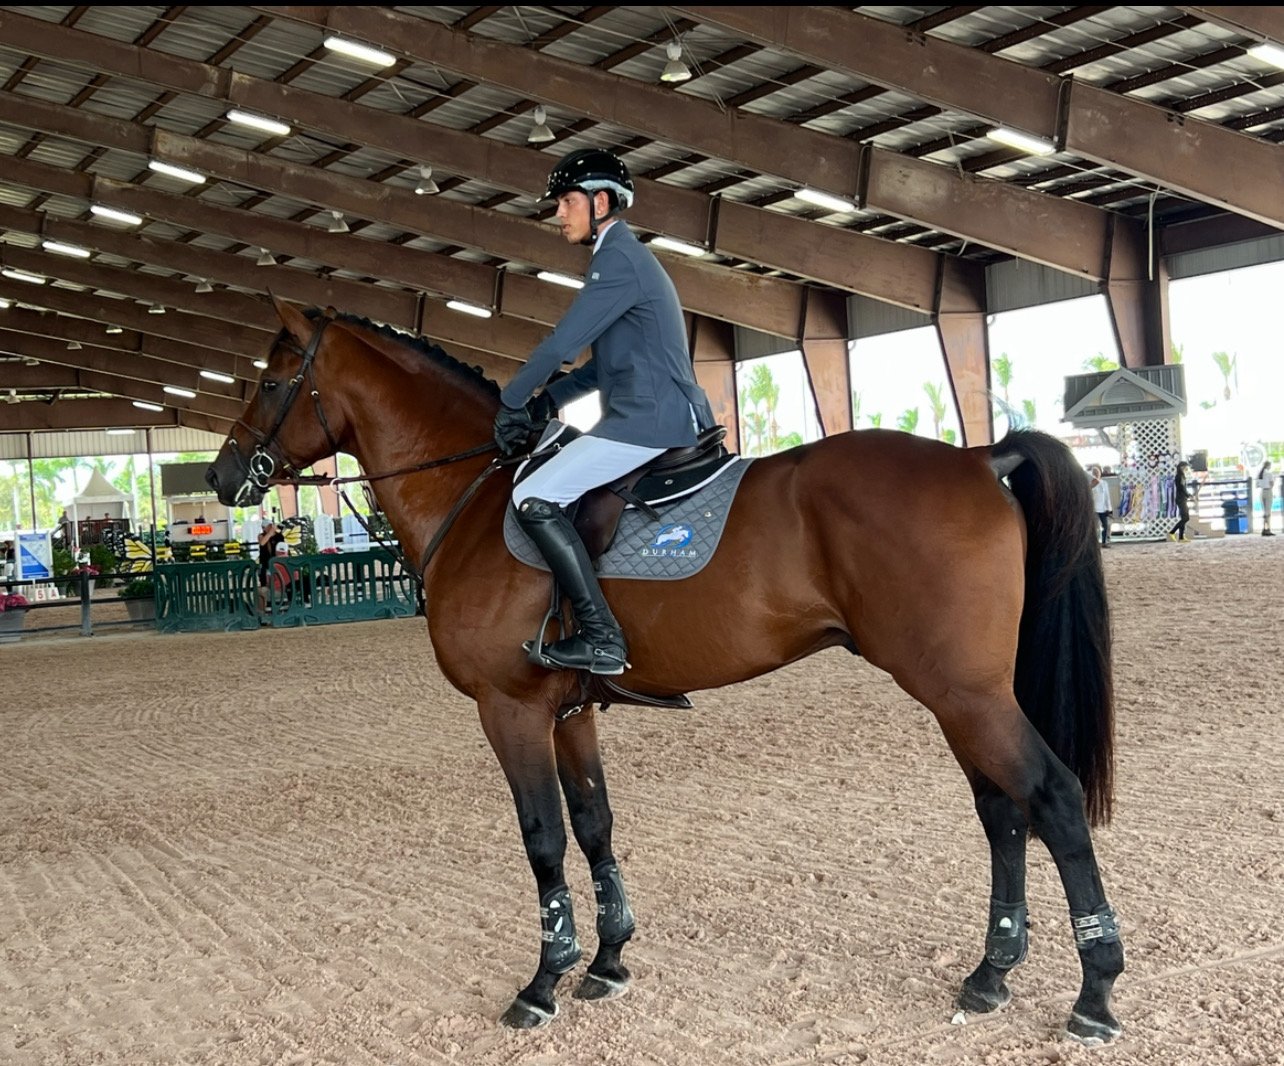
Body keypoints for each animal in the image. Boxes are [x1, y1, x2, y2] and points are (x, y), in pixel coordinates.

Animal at [206, 298, 1124, 1042]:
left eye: (272, 381)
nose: (220, 476)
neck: (477, 498)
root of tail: (978, 459)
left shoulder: (509, 710)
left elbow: (542, 839)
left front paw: (544, 981)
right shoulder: (568, 713)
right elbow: (594, 824)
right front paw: (608, 961)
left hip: (962, 693)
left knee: (1051, 798)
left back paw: (1095, 993)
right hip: (959, 696)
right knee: (1002, 813)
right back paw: (991, 973)